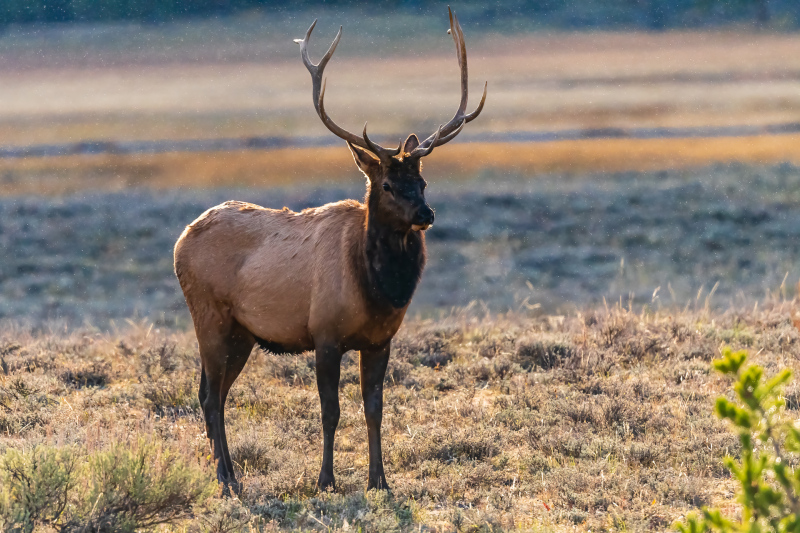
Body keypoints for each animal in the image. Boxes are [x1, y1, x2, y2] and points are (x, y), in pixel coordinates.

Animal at [173, 7, 486, 494]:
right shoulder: (325, 334)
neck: (378, 289)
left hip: (243, 333)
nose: (426, 214)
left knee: (215, 392)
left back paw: (226, 472)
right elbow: (330, 412)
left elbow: (374, 410)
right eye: (388, 184)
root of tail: (180, 241)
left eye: (424, 180)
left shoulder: (380, 341)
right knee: (210, 397)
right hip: (209, 316)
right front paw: (326, 480)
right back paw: (227, 478)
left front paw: (379, 481)